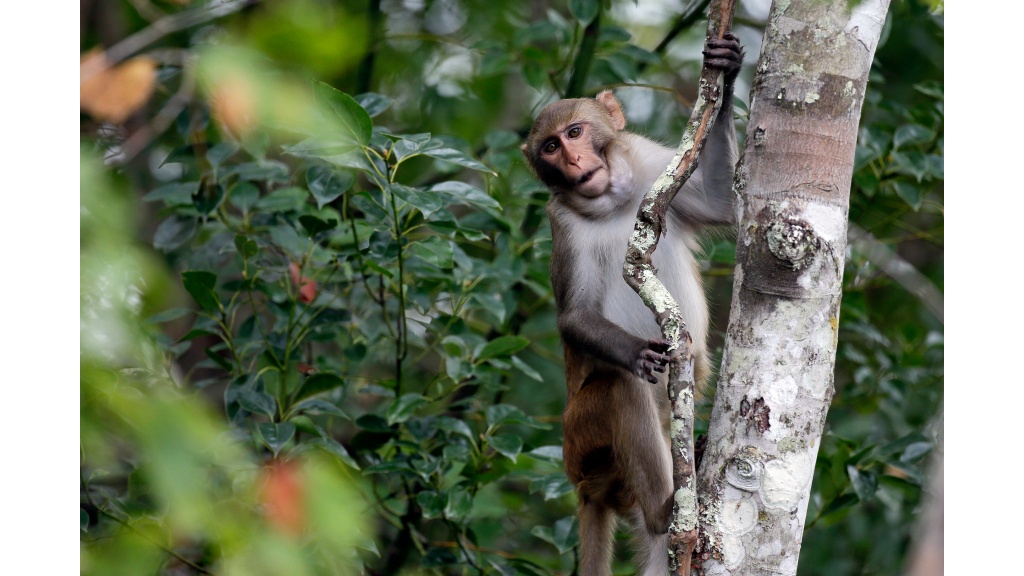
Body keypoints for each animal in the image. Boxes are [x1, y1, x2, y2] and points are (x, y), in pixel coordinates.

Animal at [520, 34, 745, 573]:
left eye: (575, 132)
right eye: (551, 147)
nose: (574, 163)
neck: (612, 201)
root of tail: (586, 486)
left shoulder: (649, 163)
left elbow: (722, 204)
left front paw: (726, 73)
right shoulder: (562, 224)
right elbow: (575, 316)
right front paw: (637, 352)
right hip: (582, 439)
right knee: (621, 389)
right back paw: (666, 510)